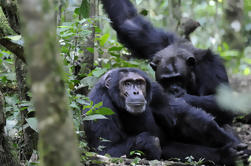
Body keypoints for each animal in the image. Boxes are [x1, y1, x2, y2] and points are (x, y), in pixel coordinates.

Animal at [83, 67, 248, 165]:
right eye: (127, 83)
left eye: (139, 83)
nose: (135, 91)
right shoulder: (99, 105)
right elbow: (106, 149)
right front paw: (149, 142)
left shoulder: (156, 90)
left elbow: (182, 117)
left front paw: (232, 141)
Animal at [100, 0, 235, 124]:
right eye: (166, 80)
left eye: (179, 78)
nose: (174, 89)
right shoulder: (155, 42)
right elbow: (127, 19)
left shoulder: (212, 67)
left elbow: (223, 102)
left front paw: (177, 97)